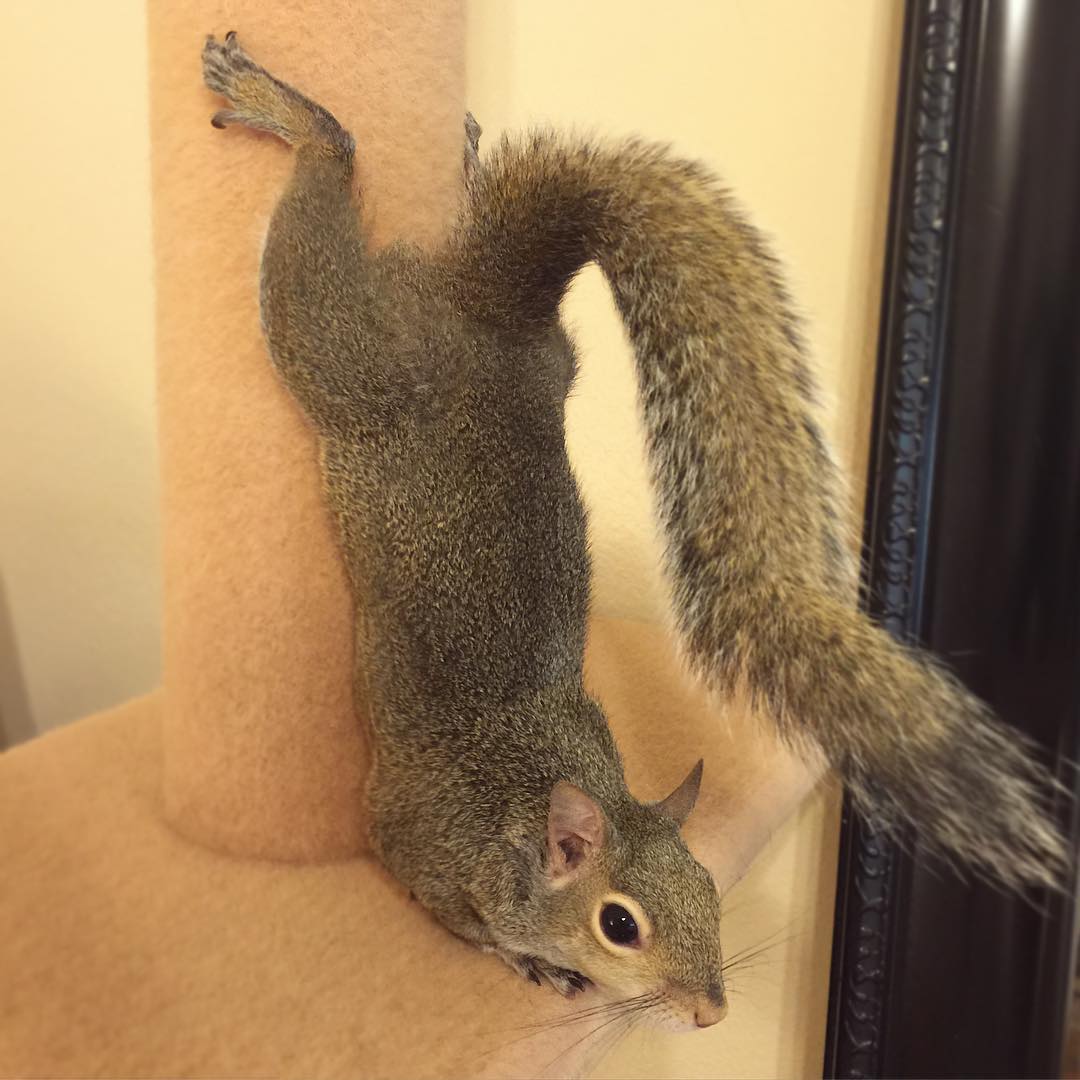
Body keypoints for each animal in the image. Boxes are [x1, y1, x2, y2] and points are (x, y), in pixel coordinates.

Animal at [201, 33, 1067, 1027]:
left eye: (713, 889)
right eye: (620, 925)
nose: (711, 1012)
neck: (519, 810)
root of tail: (491, 313)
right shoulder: (412, 843)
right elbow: (455, 917)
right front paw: (524, 959)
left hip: (540, 361)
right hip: (355, 357)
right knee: (317, 253)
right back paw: (298, 121)